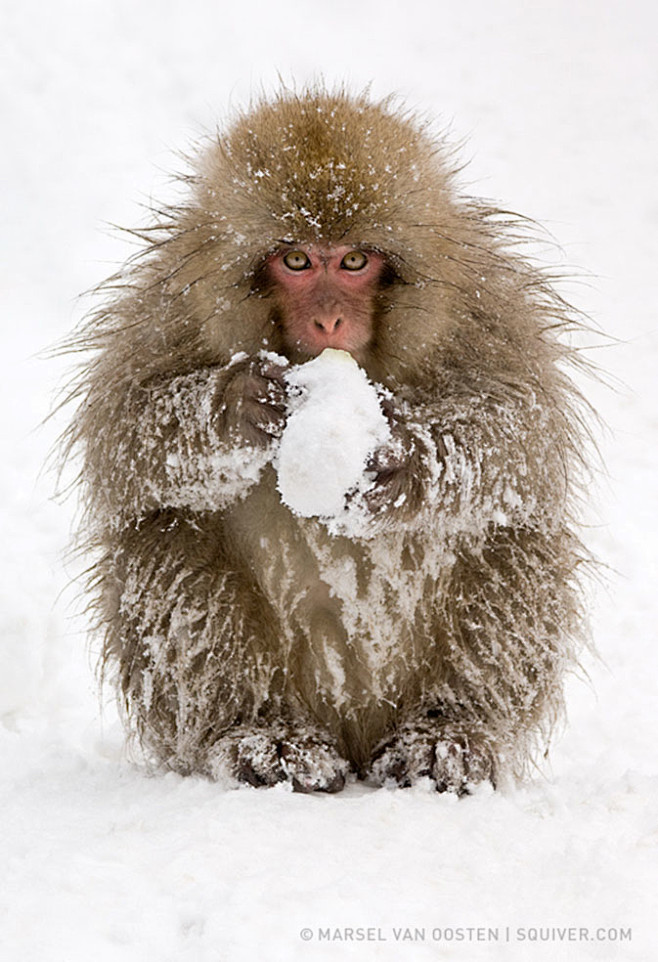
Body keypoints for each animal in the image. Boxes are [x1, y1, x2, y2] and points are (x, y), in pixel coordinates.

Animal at [62, 86, 588, 792]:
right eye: (296, 260)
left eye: (355, 260)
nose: (329, 319)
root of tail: (356, 733)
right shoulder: (171, 304)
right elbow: (125, 433)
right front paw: (235, 407)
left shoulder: (485, 306)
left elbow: (522, 434)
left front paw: (404, 463)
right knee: (166, 534)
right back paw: (262, 732)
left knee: (513, 541)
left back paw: (446, 731)